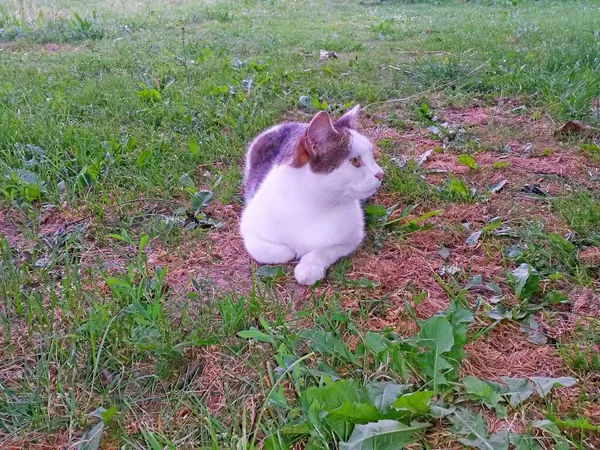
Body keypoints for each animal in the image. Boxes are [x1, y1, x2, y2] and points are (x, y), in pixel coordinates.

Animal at [238, 105, 382, 284]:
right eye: (355, 161)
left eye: (371, 156)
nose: (380, 173)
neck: (313, 204)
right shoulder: (248, 224)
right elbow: (266, 249)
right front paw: (288, 251)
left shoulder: (353, 236)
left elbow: (326, 249)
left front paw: (309, 266)